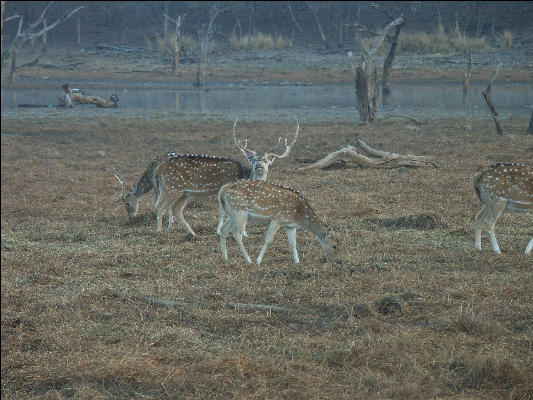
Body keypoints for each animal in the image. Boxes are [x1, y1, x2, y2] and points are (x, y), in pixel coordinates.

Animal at [151, 118, 300, 234]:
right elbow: (223, 212)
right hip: (171, 187)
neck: (243, 175)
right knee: (160, 207)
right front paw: (221, 231)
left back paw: (192, 233)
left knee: (176, 210)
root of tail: (158, 169)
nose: (259, 166)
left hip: (184, 193)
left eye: (266, 160)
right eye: (252, 160)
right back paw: (159, 231)